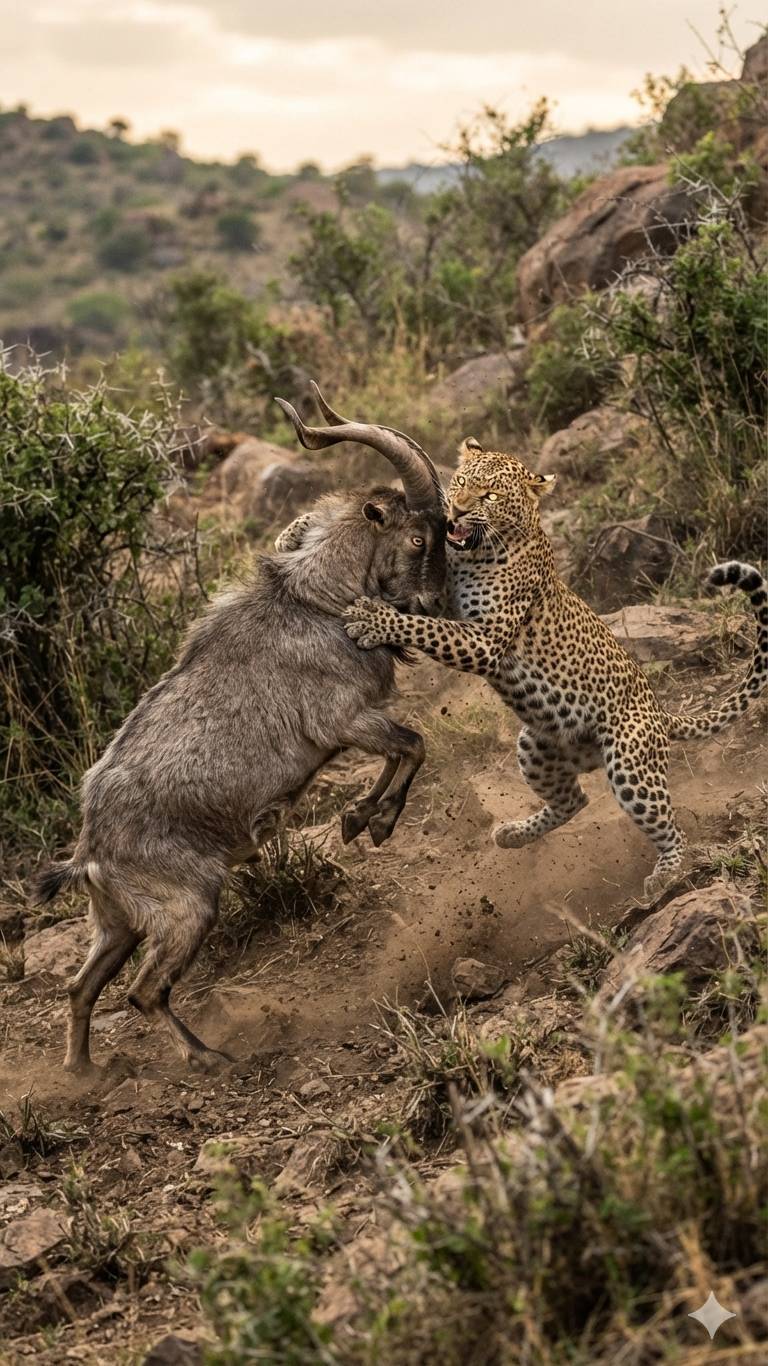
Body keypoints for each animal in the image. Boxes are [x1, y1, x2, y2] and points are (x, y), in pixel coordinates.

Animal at [339, 438, 767, 899]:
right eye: (462, 482)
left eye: (490, 497)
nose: (456, 511)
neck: (476, 552)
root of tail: (660, 712)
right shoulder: (440, 599)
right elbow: (424, 616)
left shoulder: (485, 639)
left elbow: (425, 628)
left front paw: (370, 619)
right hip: (536, 746)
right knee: (573, 800)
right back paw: (511, 834)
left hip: (630, 763)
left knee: (667, 825)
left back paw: (665, 874)